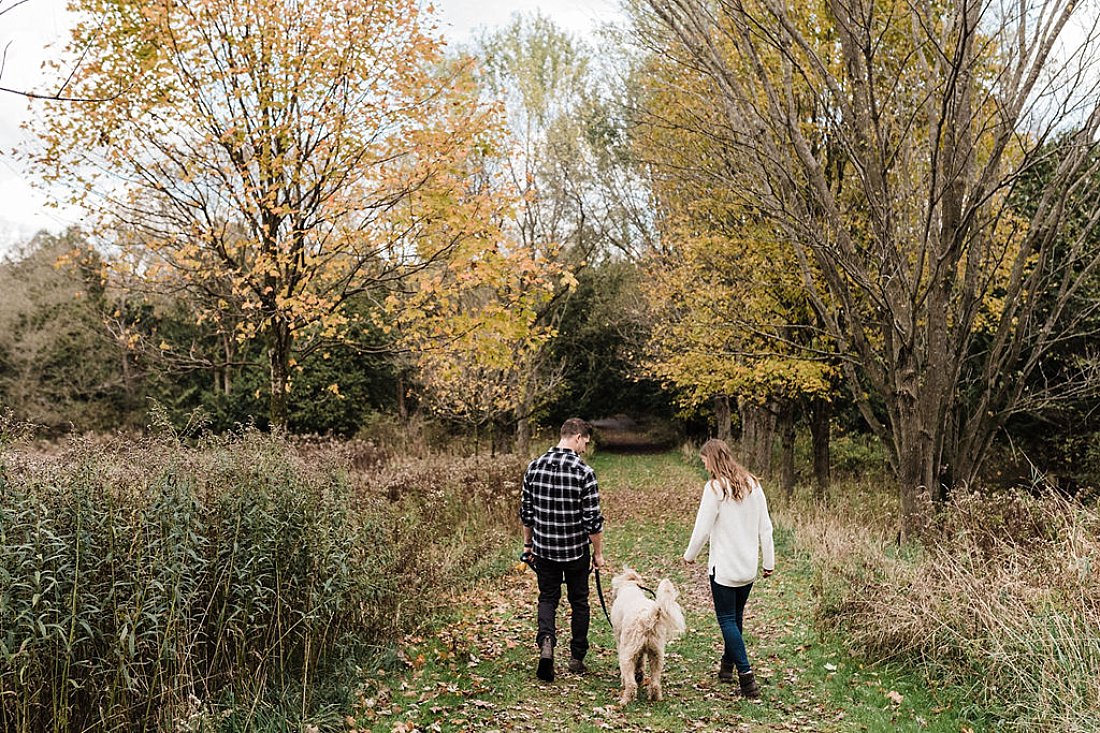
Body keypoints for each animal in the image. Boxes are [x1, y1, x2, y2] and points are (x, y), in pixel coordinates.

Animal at [616, 563, 682, 704]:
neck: (631, 587)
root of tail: (649, 616)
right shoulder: (640, 650)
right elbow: (640, 662)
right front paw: (640, 676)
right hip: (657, 654)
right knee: (655, 682)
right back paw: (656, 697)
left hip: (628, 653)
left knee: (631, 684)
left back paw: (625, 699)